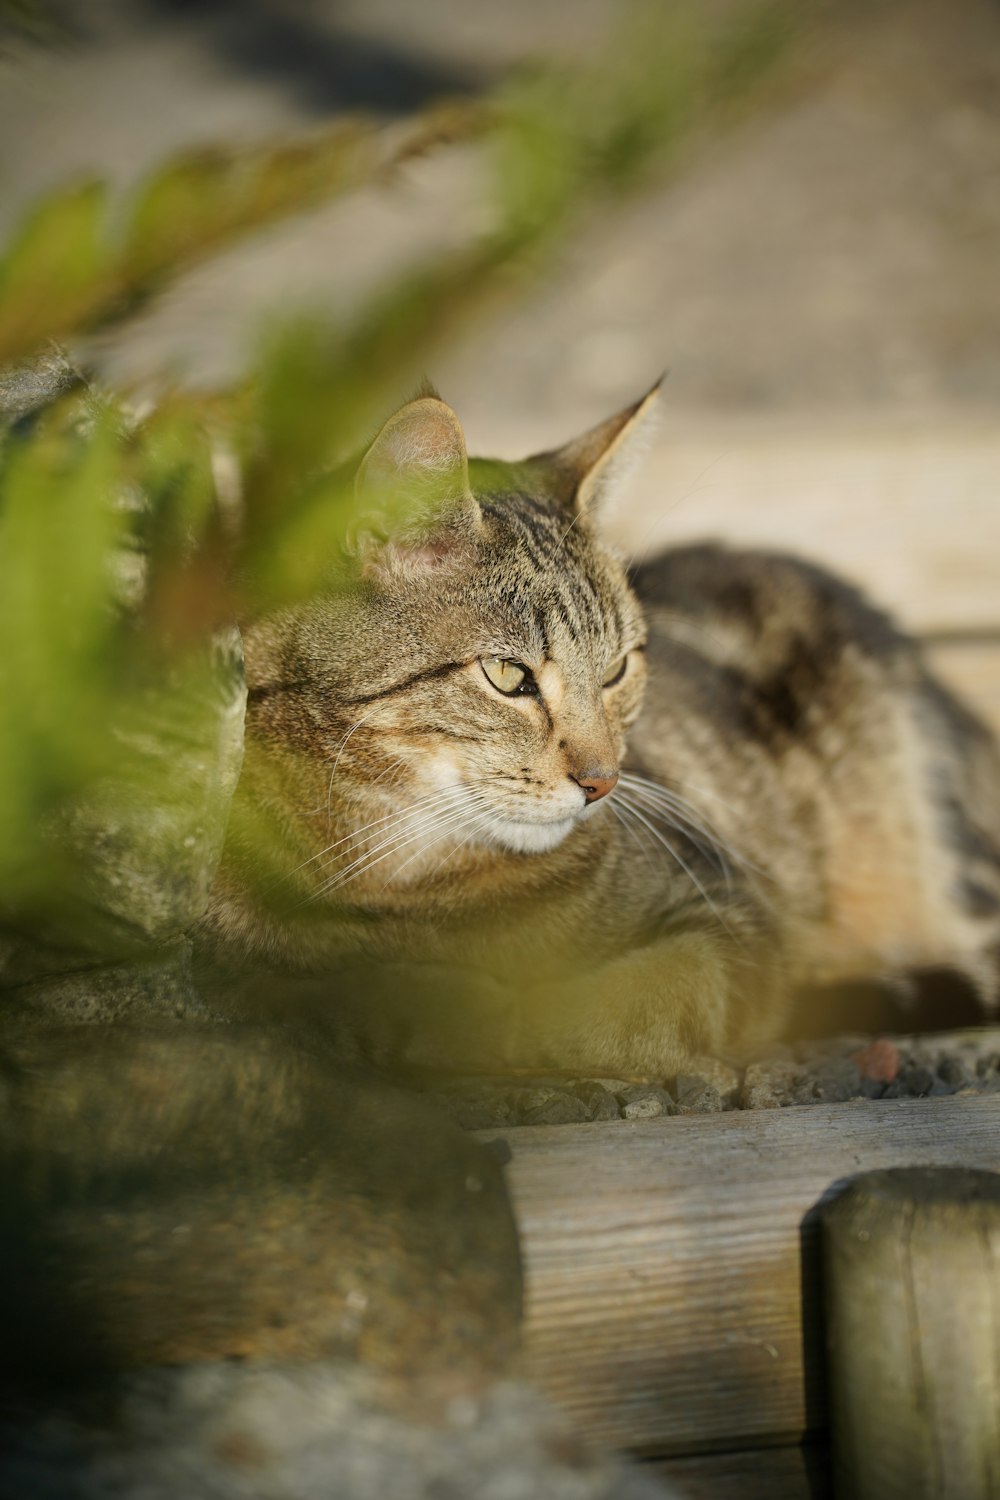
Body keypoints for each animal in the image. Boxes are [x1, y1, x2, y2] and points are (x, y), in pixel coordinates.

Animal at [200, 387, 1000, 1080]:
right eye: (508, 675)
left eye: (616, 669)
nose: (603, 781)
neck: (412, 885)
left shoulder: (730, 912)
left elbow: (626, 1001)